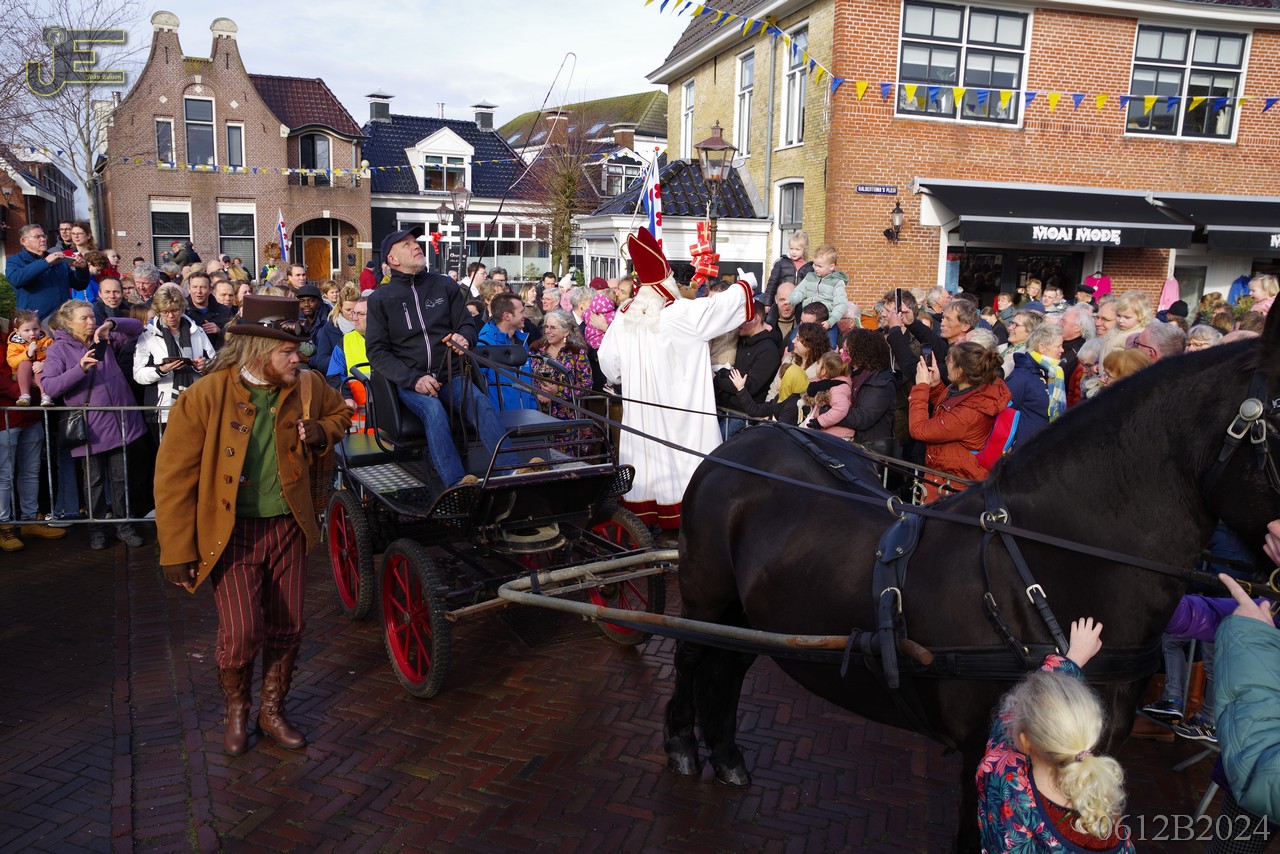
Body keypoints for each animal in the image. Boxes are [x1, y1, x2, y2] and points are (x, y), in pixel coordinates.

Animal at [667, 311, 1280, 852]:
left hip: (749, 615)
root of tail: (741, 445)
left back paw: (727, 757)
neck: (1043, 567)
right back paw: (682, 748)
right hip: (704, 596)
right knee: (693, 658)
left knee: (728, 666)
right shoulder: (987, 757)